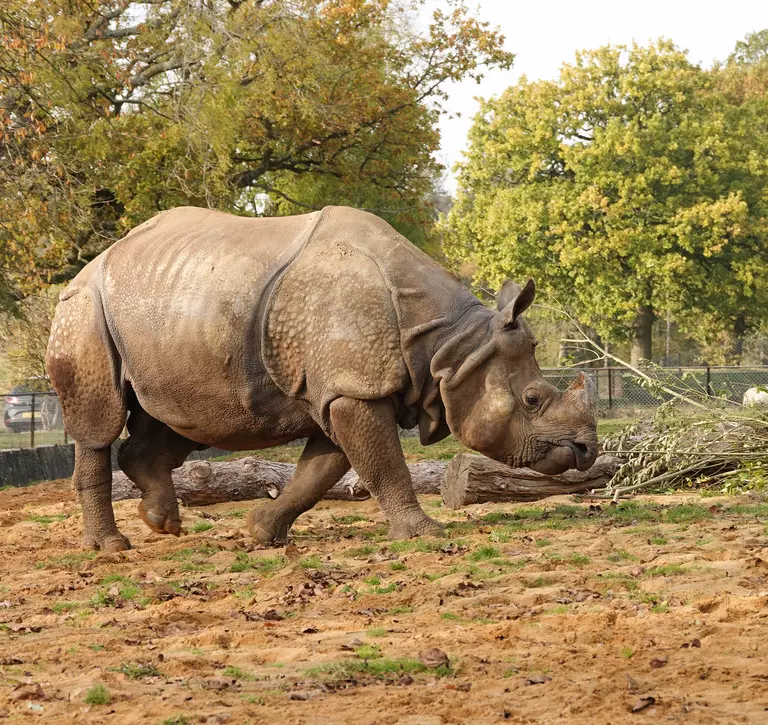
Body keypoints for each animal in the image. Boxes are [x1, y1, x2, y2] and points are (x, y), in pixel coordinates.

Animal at [46, 206, 600, 552]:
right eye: (532, 399)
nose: (587, 451)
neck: (451, 346)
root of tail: (88, 267)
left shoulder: (338, 389)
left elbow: (323, 471)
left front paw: (262, 532)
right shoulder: (353, 387)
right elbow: (383, 465)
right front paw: (425, 533)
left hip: (172, 315)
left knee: (175, 418)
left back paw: (163, 524)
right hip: (84, 310)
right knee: (100, 422)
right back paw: (112, 547)